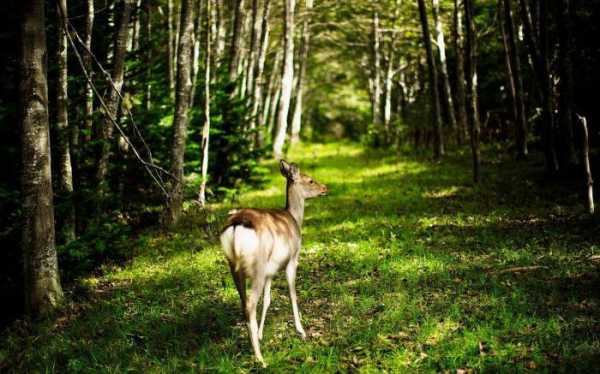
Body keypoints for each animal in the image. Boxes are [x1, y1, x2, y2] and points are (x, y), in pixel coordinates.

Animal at [219, 159, 326, 366]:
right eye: (310, 180)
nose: (325, 188)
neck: (294, 219)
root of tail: (236, 225)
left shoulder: (271, 270)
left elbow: (268, 299)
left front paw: (261, 334)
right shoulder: (292, 258)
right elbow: (292, 294)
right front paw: (301, 331)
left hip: (235, 267)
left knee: (244, 304)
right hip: (257, 267)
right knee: (250, 304)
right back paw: (260, 359)